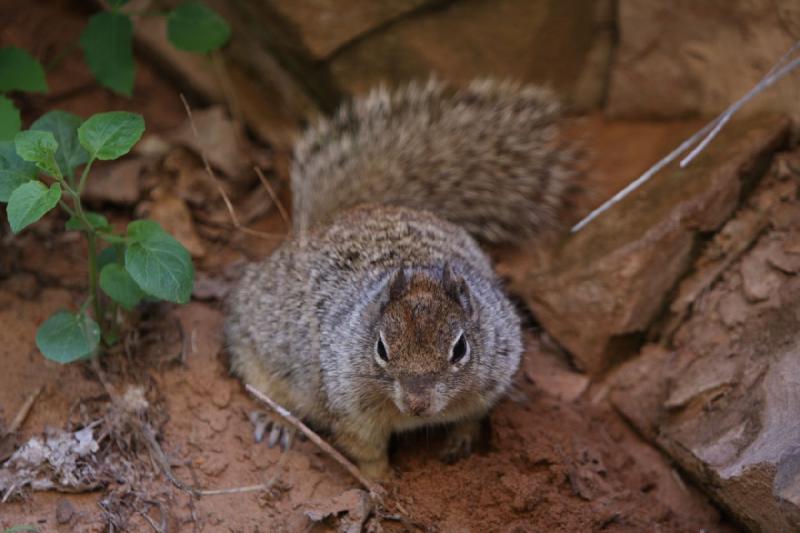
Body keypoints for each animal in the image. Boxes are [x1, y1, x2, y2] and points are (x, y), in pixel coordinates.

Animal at [225, 78, 576, 478]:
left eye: (460, 348)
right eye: (381, 348)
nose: (417, 404)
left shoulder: (491, 380)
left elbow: (472, 417)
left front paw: (461, 441)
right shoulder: (350, 407)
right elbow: (366, 452)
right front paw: (382, 485)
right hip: (256, 353)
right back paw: (277, 422)